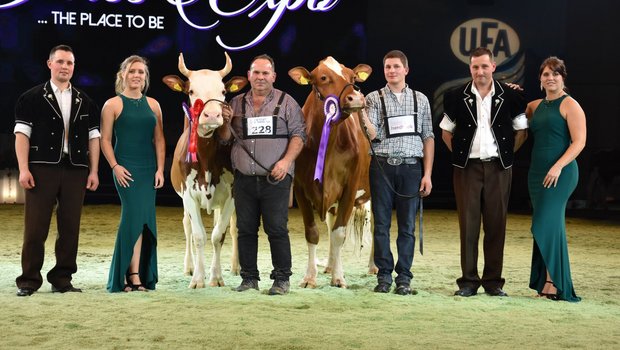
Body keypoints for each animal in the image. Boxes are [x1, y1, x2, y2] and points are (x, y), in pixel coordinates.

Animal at [163, 52, 248, 288]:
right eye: (191, 91)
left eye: (223, 91)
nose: (211, 115)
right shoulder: (188, 195)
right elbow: (199, 235)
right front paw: (198, 279)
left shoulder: (232, 195)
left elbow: (219, 235)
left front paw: (216, 277)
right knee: (187, 227)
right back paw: (189, 267)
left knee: (232, 227)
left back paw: (236, 266)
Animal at [290, 56, 376, 288]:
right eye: (323, 77)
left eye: (352, 77)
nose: (355, 98)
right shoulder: (300, 189)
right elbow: (313, 233)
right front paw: (310, 277)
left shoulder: (350, 188)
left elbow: (339, 234)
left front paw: (338, 278)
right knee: (330, 224)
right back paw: (329, 265)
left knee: (376, 227)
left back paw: (373, 266)